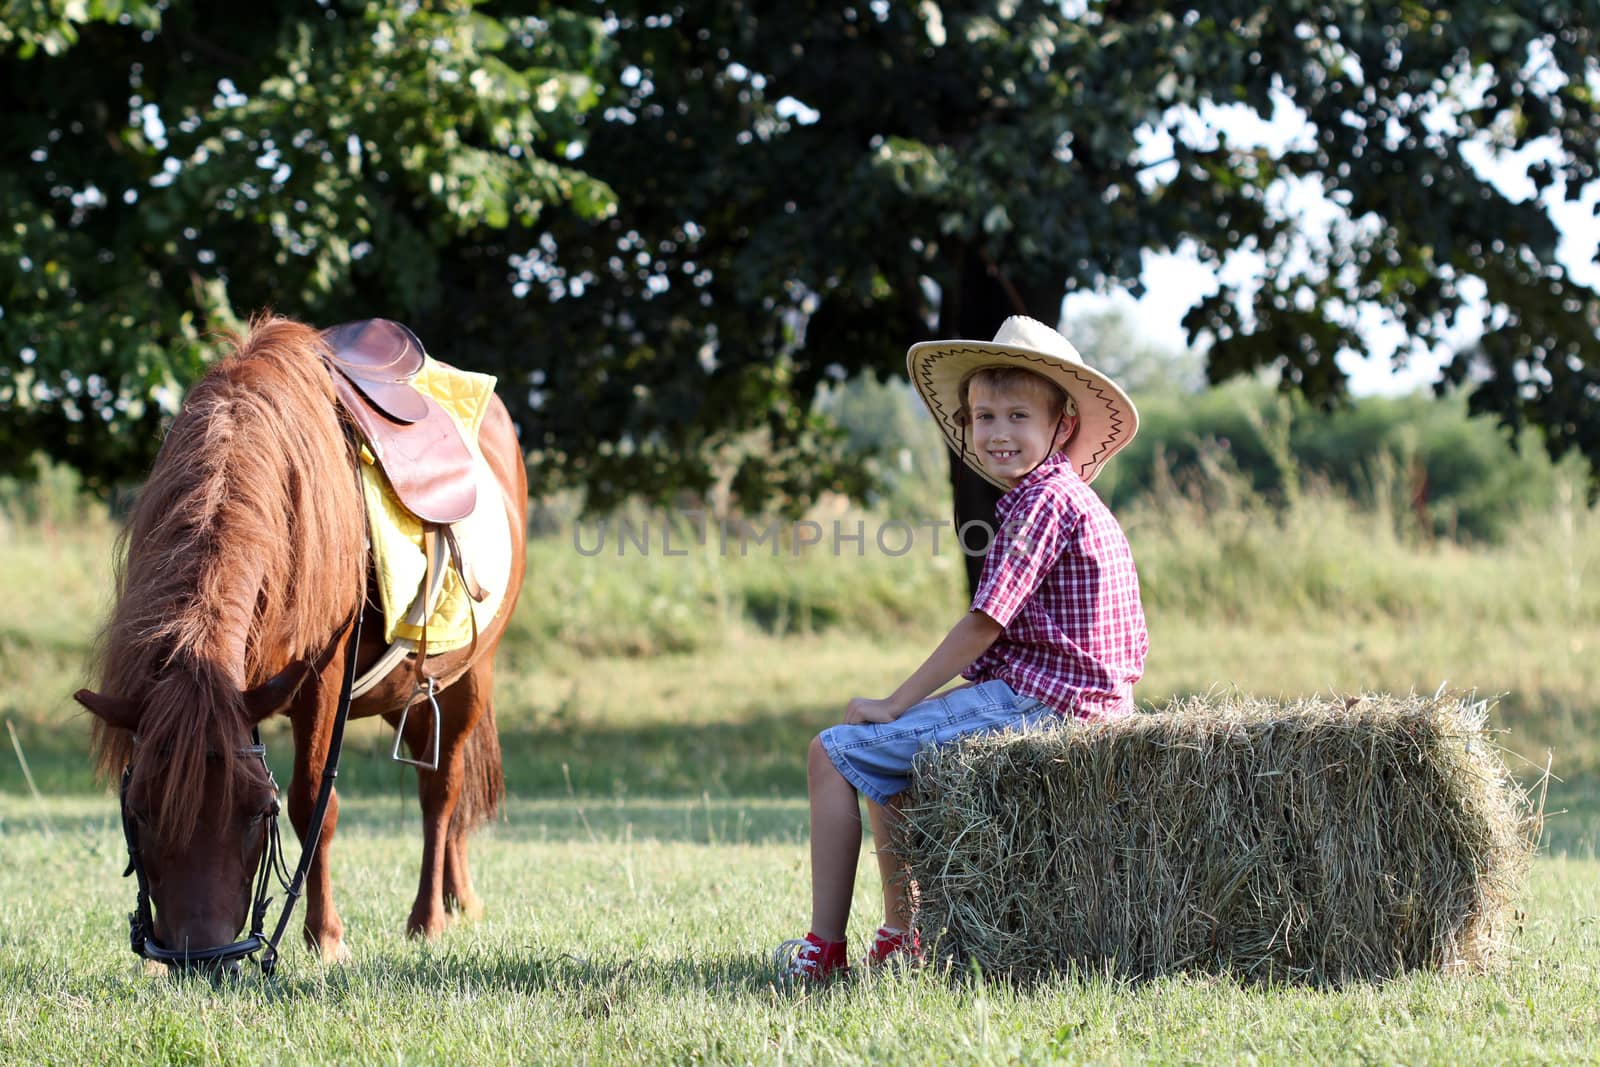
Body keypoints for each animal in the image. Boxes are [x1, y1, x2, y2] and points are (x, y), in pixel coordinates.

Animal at [78, 313, 528, 966]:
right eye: (138, 811)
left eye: (257, 812)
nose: (198, 958)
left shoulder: (323, 679)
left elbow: (315, 801)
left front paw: (326, 936)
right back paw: (457, 895)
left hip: (469, 676)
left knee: (441, 790)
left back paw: (429, 917)